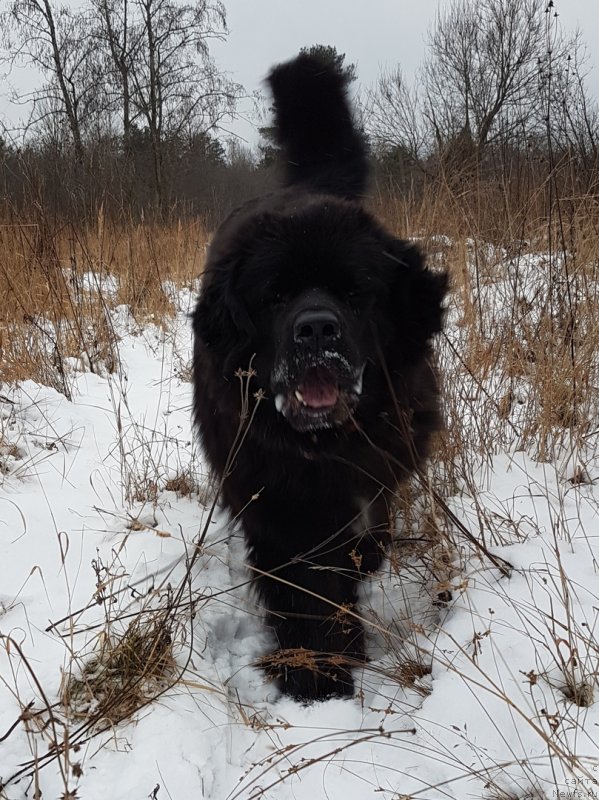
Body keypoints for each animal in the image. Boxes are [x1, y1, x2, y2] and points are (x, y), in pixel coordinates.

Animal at [191, 53, 446, 700]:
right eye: (276, 296)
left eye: (355, 293)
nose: (316, 330)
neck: (325, 447)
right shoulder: (280, 512)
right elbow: (307, 593)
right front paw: (318, 676)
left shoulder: (372, 479)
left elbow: (353, 555)